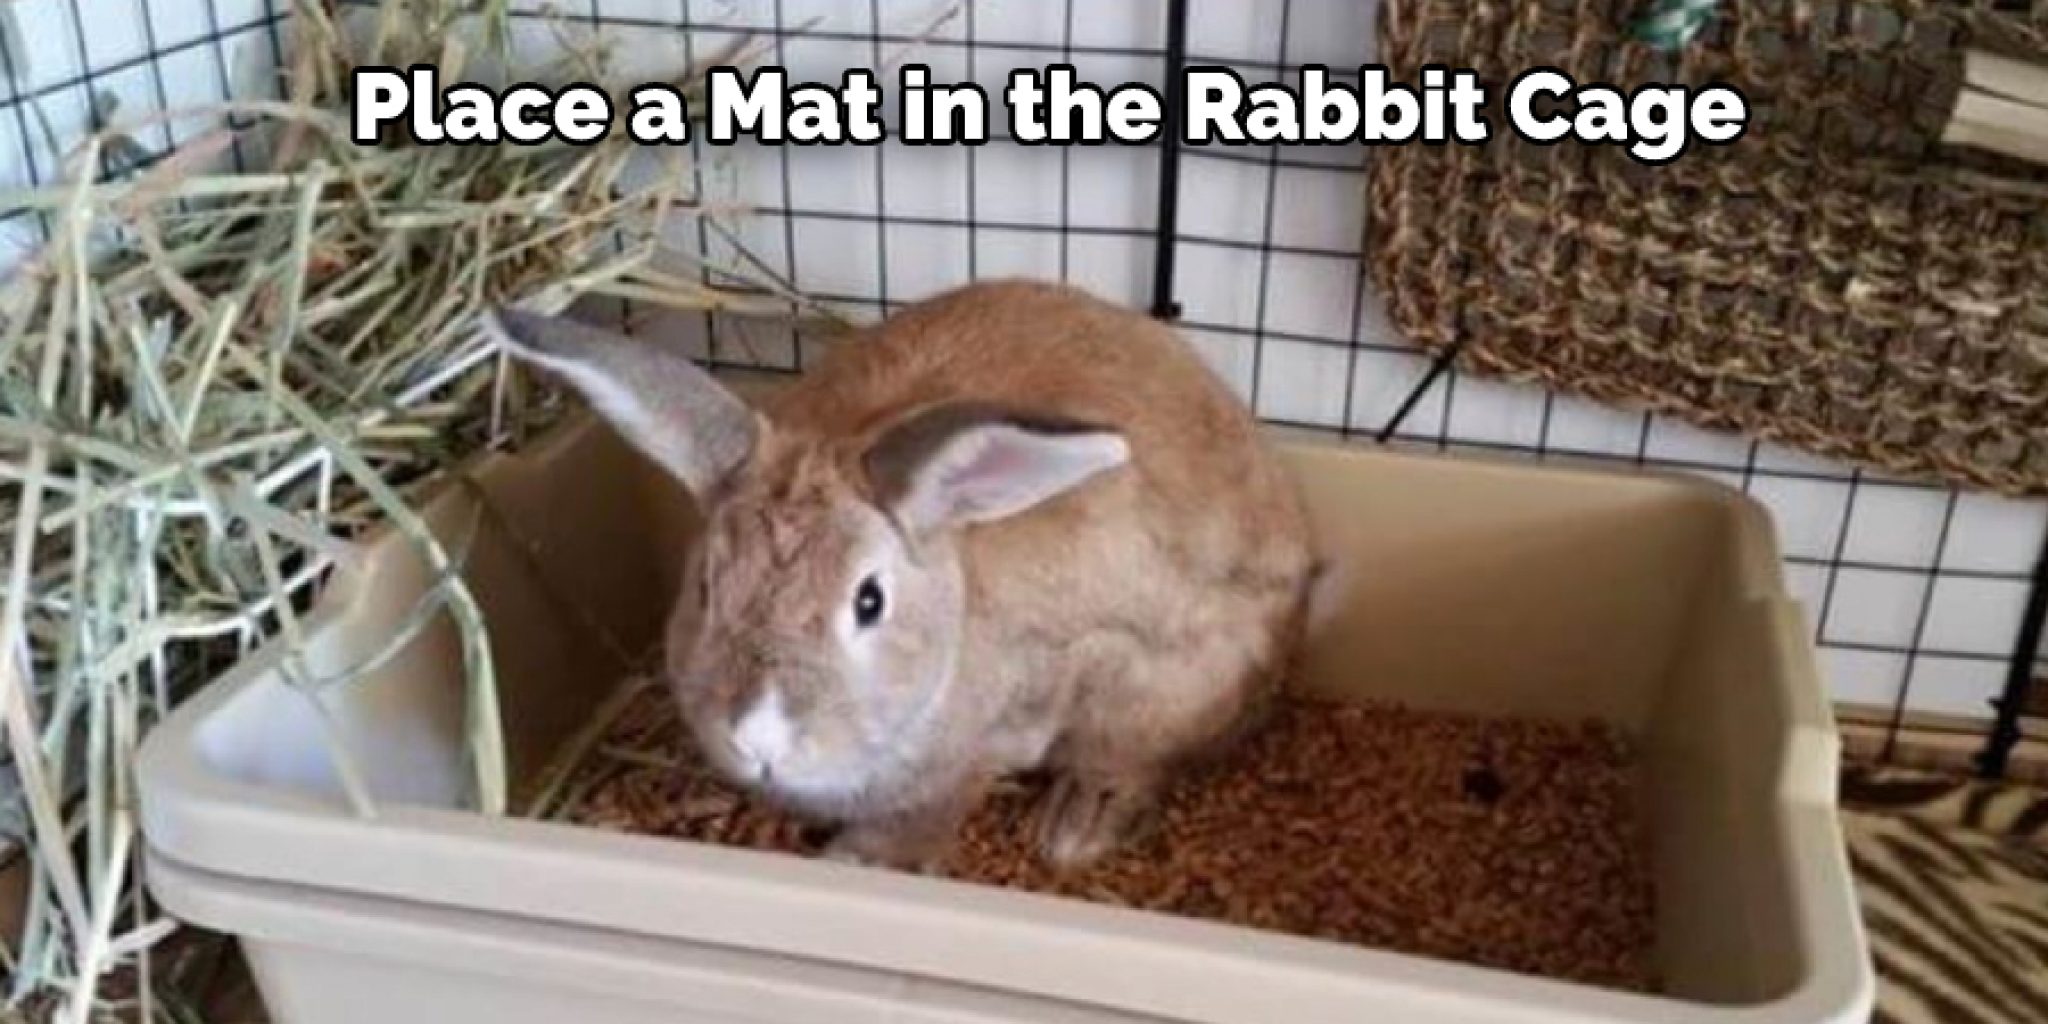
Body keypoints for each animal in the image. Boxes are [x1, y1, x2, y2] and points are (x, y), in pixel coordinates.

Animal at [484, 279, 1323, 870]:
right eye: (706, 588)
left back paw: (1076, 825)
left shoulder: (997, 736)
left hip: (1172, 682)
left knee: (1141, 755)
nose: (757, 732)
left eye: (869, 601)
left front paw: (858, 859)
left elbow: (928, 816)